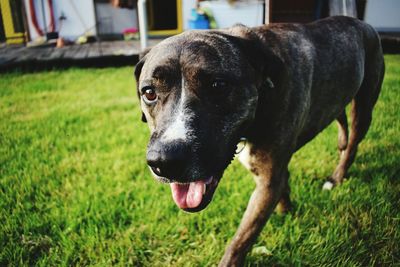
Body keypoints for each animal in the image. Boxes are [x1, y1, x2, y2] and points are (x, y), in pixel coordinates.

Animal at [134, 16, 384, 266]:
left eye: (217, 85)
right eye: (148, 92)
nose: (164, 161)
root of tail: (363, 23)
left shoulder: (267, 181)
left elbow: (241, 239)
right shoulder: (272, 175)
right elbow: (283, 187)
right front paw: (286, 212)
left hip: (365, 106)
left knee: (353, 142)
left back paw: (337, 176)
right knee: (340, 115)